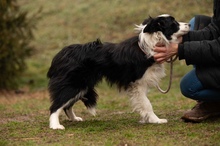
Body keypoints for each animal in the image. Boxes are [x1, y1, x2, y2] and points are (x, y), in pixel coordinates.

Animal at [47, 14, 190, 129]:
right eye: (174, 23)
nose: (189, 24)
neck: (150, 44)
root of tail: (60, 55)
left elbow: (143, 102)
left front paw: (146, 119)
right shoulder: (137, 83)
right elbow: (147, 103)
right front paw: (156, 120)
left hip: (81, 86)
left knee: (67, 105)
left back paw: (74, 119)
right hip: (74, 84)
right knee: (56, 105)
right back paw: (55, 126)